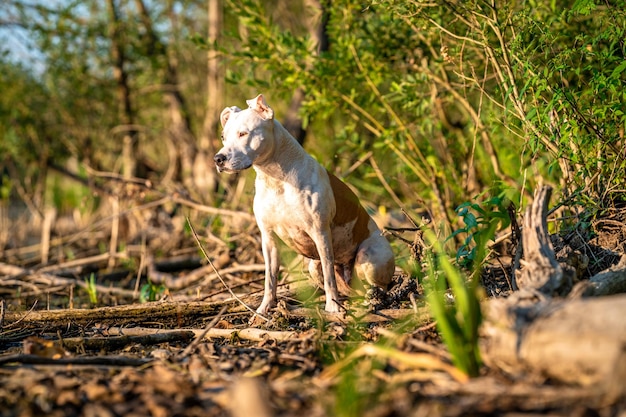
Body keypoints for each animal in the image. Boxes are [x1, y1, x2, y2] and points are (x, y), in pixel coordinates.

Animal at [212, 94, 392, 314]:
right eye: (223, 136)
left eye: (243, 134)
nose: (218, 158)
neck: (275, 179)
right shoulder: (268, 239)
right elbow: (270, 279)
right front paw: (263, 310)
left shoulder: (321, 234)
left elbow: (329, 276)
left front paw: (332, 307)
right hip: (315, 267)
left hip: (369, 257)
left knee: (379, 286)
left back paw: (370, 301)